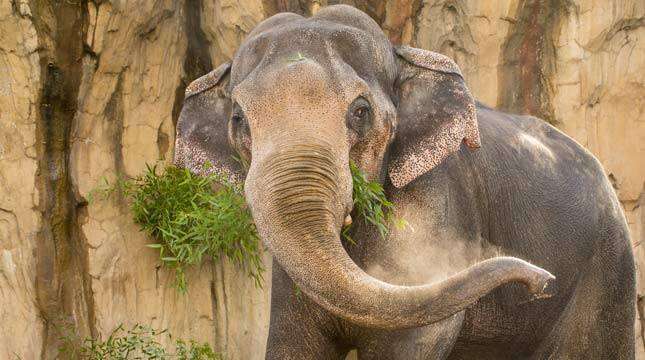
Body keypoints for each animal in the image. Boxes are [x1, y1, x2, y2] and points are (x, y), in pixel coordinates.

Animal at [172, 5, 632, 360]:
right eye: (238, 119)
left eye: (360, 111)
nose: (541, 281)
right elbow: (294, 343)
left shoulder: (437, 203)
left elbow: (417, 336)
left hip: (610, 267)